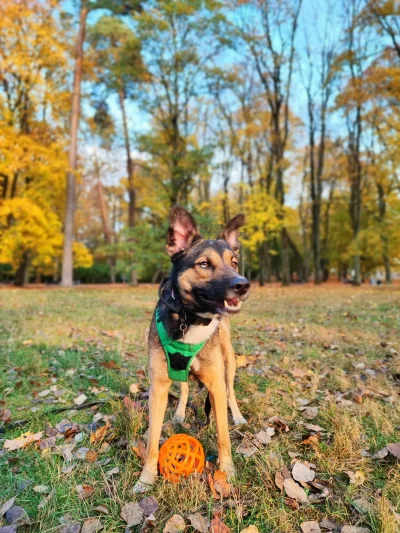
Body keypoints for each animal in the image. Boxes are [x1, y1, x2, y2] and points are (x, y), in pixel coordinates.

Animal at [134, 206, 250, 492]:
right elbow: (152, 441)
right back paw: (178, 412)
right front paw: (146, 478)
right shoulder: (159, 386)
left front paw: (227, 471)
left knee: (231, 391)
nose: (243, 284)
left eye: (233, 263)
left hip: (229, 361)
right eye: (204, 264)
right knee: (185, 387)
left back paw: (238, 416)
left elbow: (222, 434)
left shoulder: (216, 385)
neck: (191, 318)